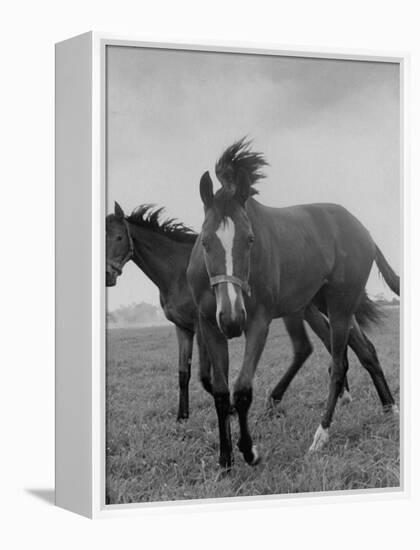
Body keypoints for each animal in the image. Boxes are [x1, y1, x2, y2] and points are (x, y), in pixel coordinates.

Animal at [188, 139, 400, 470]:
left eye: (250, 239)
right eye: (206, 240)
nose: (233, 320)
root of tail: (364, 232)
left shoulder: (258, 322)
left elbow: (243, 389)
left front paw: (249, 451)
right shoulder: (210, 324)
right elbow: (221, 393)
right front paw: (225, 459)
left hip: (340, 307)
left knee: (339, 364)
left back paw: (321, 435)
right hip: (325, 306)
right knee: (366, 351)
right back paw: (391, 409)